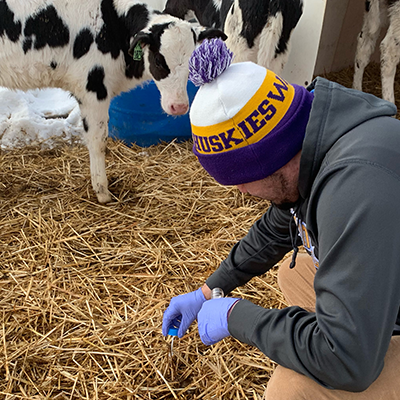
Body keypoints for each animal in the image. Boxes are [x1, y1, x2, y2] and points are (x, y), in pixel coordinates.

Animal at [0, 0, 225, 203]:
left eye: (192, 62)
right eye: (159, 61)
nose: (179, 107)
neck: (111, 25)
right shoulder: (93, 88)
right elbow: (98, 141)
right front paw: (102, 193)